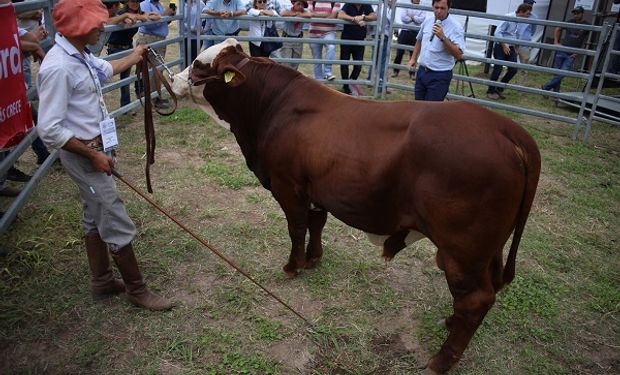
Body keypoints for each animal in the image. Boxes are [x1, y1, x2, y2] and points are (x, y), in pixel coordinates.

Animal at [172, 38, 540, 374]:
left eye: (200, 65)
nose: (174, 80)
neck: (269, 107)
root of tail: (507, 129)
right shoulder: (316, 191)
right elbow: (316, 224)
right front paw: (313, 259)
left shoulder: (287, 186)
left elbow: (296, 227)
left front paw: (293, 266)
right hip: (487, 250)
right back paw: (449, 325)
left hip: (462, 249)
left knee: (475, 300)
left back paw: (440, 361)